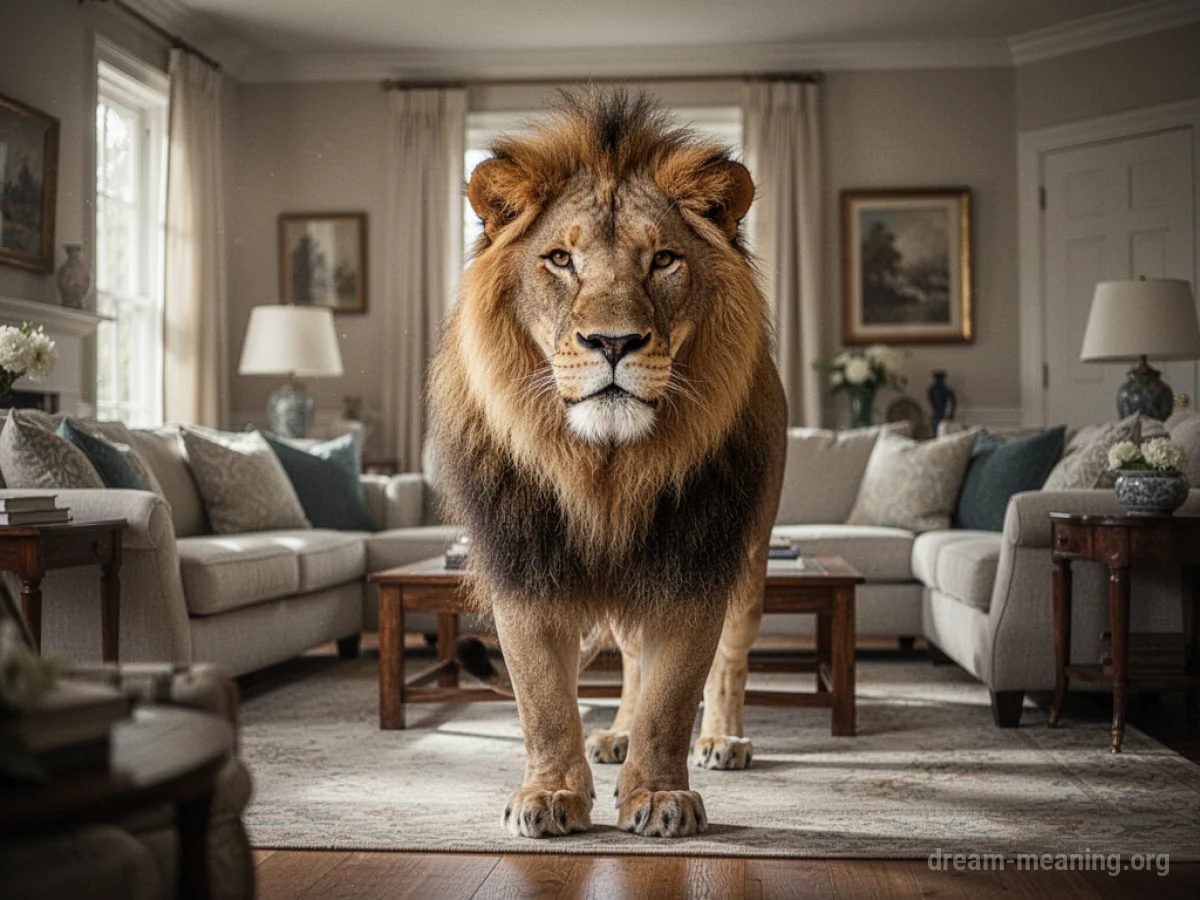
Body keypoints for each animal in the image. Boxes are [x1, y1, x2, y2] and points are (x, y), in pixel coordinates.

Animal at [427, 91, 786, 839]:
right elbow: (543, 698)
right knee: (630, 661)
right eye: (561, 259)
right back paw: (616, 733)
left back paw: (723, 740)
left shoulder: (695, 557)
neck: (605, 467)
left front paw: (660, 796)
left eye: (664, 260)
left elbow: (675, 694)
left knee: (729, 659)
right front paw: (550, 794)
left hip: (751, 555)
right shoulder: (525, 562)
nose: (613, 342)